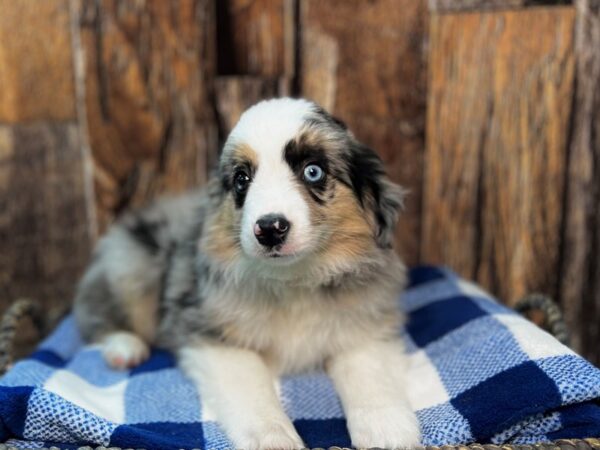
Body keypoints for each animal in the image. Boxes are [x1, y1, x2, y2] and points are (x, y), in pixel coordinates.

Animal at [74, 98, 421, 449]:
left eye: (313, 171)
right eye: (242, 179)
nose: (270, 229)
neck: (295, 279)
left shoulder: (366, 325)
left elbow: (371, 375)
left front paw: (388, 430)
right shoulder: (213, 335)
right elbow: (253, 392)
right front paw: (274, 438)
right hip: (130, 268)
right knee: (96, 320)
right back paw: (124, 349)